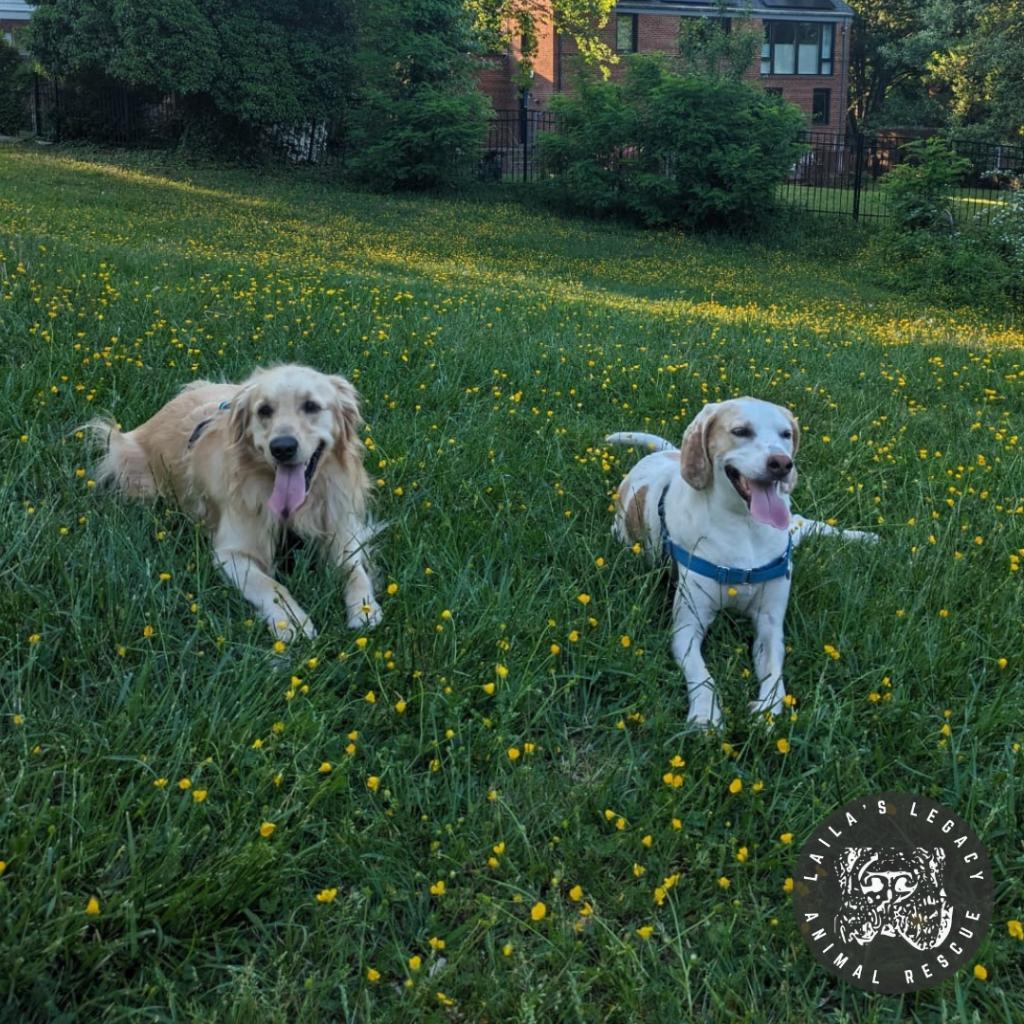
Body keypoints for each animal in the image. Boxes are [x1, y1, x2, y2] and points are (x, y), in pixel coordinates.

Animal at [90, 366, 380, 638]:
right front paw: (292, 620)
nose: (282, 447)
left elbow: (354, 569)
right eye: (264, 410)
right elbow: (271, 585)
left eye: (311, 406)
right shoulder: (231, 553)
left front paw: (364, 607)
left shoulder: (341, 529)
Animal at [610, 395, 876, 724]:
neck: (745, 527)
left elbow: (775, 674)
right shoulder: (687, 627)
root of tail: (668, 454)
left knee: (805, 522)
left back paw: (865, 537)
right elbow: (701, 674)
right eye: (740, 431)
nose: (781, 463)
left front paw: (767, 711)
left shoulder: (770, 624)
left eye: (786, 434)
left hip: (790, 530)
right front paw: (705, 715)